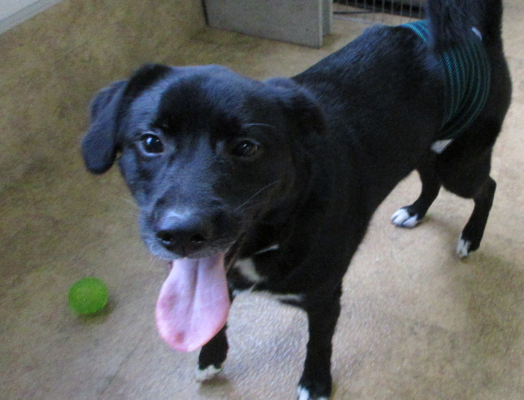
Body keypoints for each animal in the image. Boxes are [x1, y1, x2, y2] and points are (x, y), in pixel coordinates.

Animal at [81, 0, 511, 398]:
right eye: (151, 142)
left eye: (247, 147)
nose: (182, 234)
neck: (280, 228)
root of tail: (479, 35)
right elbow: (213, 317)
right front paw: (211, 356)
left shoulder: (323, 297)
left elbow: (318, 345)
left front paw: (316, 383)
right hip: (421, 148)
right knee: (431, 180)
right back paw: (415, 211)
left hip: (460, 163)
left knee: (487, 187)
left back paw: (470, 237)